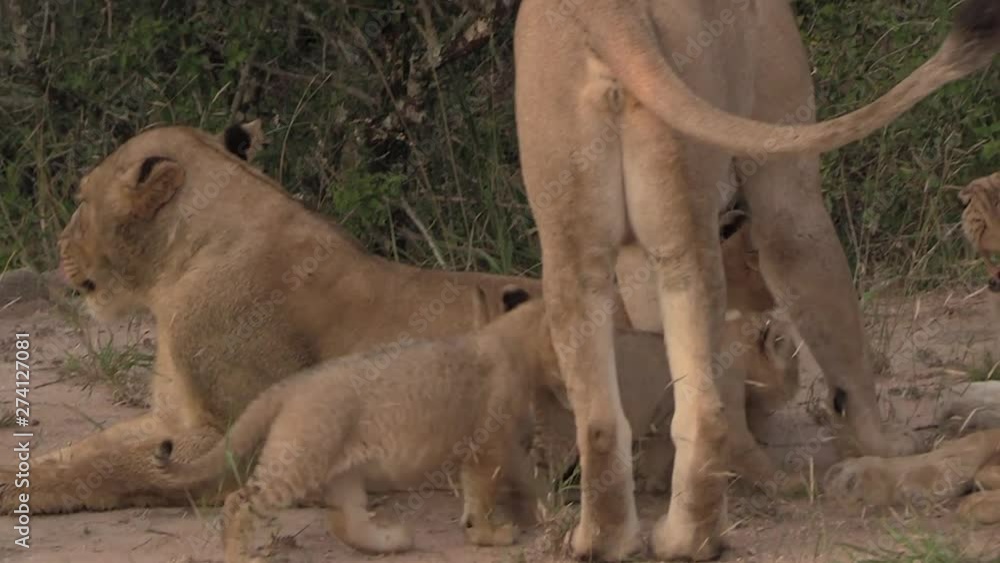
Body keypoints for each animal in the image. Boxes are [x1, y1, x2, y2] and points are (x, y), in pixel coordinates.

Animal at [0, 121, 782, 516]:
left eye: (80, 199)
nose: (59, 246)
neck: (176, 271)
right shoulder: (175, 418)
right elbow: (81, 453)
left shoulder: (226, 438)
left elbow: (108, 469)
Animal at [512, 0, 998, 558]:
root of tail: (613, 15)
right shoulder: (787, 178)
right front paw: (884, 444)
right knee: (702, 411)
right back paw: (689, 539)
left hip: (581, 236)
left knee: (602, 418)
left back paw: (607, 539)